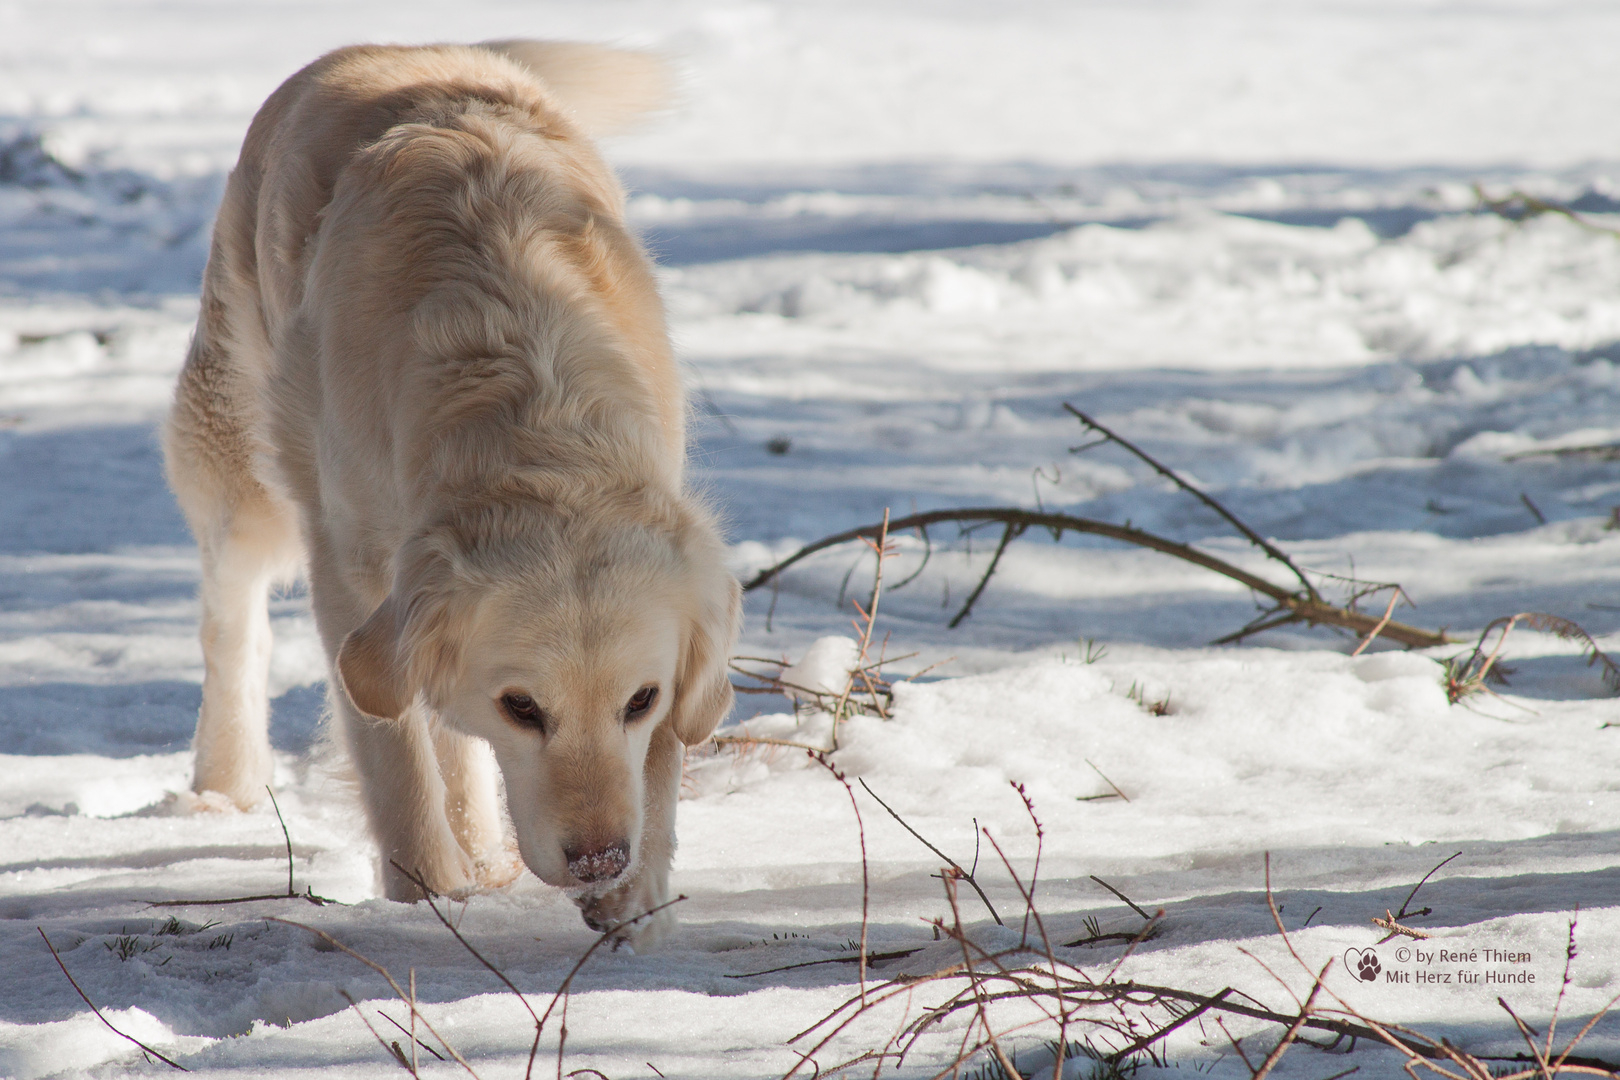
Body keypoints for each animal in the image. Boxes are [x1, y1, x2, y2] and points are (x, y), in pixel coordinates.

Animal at [161, 40, 738, 945]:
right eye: (522, 707)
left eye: (639, 700)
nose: (599, 858)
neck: (532, 417)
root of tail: (394, 50)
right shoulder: (350, 568)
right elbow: (390, 743)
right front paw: (424, 895)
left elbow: (663, 752)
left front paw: (637, 900)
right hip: (237, 447)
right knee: (232, 612)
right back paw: (226, 783)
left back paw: (488, 858)